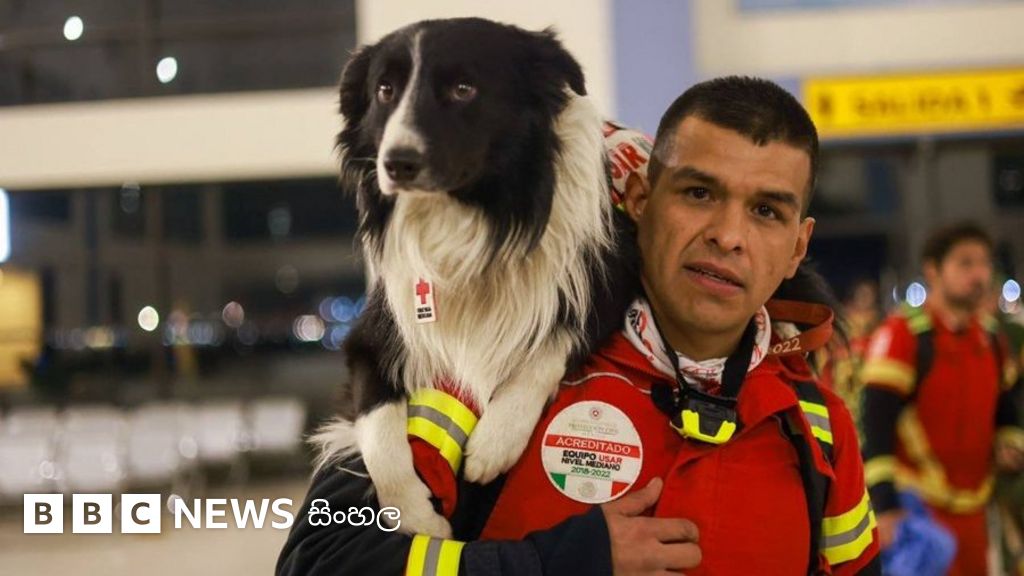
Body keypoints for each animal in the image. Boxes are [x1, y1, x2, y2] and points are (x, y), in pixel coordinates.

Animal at [312, 18, 640, 538]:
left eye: (464, 89)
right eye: (385, 90)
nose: (396, 163)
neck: (472, 219)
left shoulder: (610, 278)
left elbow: (550, 344)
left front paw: (496, 440)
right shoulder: (372, 334)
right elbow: (377, 426)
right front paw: (416, 517)